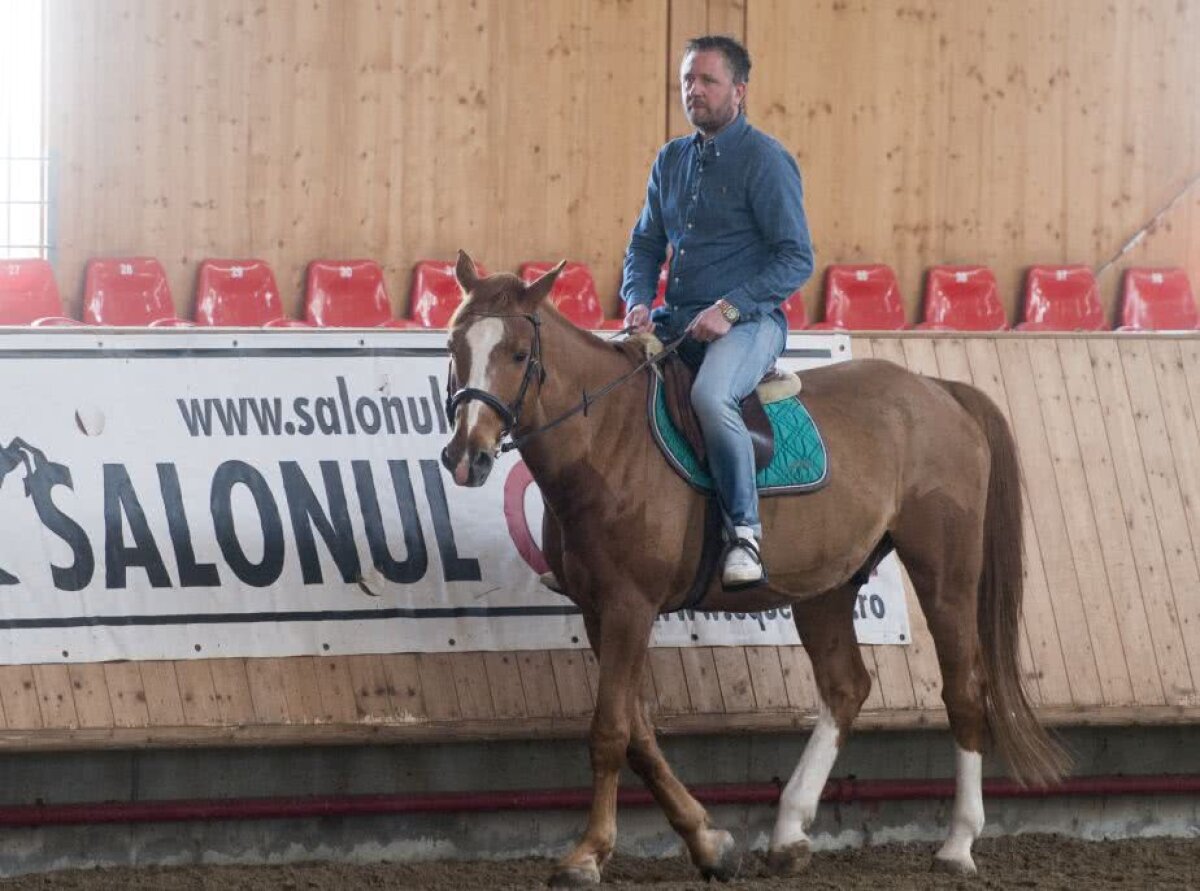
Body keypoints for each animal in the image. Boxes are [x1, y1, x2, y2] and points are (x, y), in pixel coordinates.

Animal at [441, 253, 1070, 888]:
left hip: (945, 570)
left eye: (519, 352)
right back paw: (789, 832)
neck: (607, 441)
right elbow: (639, 732)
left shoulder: (628, 606)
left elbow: (611, 731)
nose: (466, 456)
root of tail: (938, 391)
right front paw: (711, 842)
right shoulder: (600, 611)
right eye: (454, 345)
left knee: (964, 689)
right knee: (845, 687)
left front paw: (588, 854)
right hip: (826, 588)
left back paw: (958, 843)